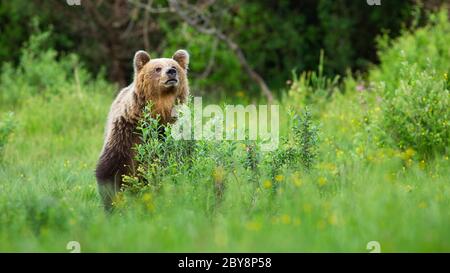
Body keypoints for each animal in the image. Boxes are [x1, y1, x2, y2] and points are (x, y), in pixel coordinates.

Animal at [96, 50, 189, 209]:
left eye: (174, 66)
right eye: (157, 68)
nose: (171, 72)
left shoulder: (173, 134)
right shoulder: (126, 131)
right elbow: (110, 169)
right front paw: (113, 204)